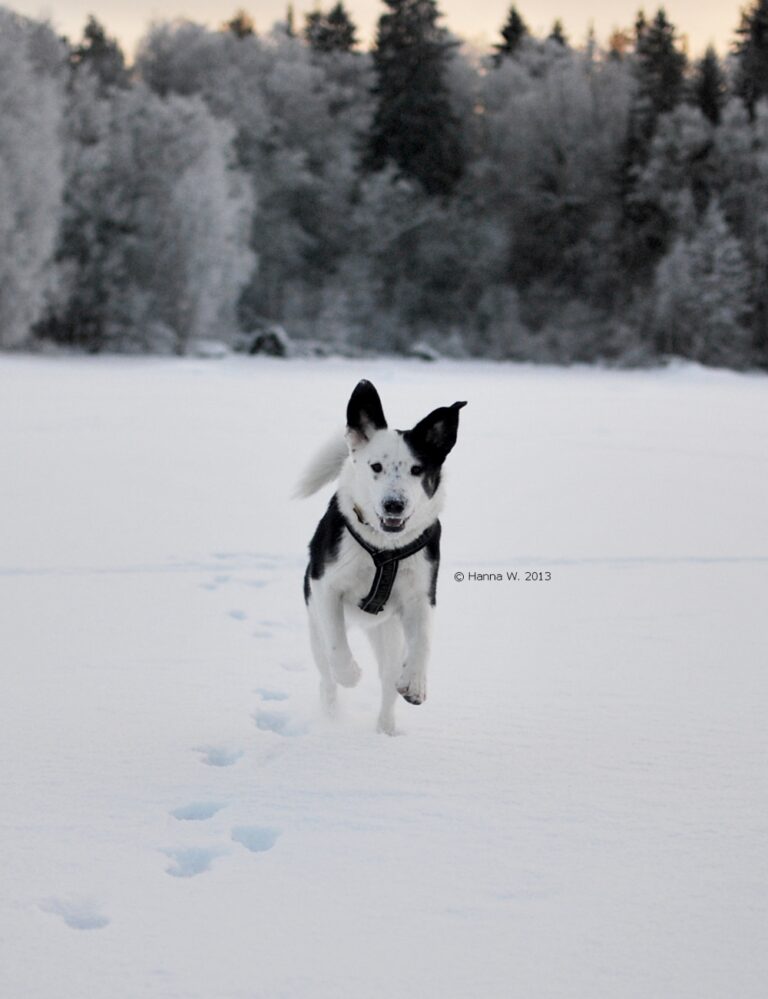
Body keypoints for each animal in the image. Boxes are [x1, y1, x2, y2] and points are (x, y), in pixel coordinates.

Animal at [296, 378, 464, 732]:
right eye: (376, 466)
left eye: (417, 469)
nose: (394, 505)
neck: (385, 547)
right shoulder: (325, 587)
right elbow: (337, 646)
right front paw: (350, 674)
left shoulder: (421, 595)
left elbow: (423, 640)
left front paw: (415, 683)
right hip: (315, 627)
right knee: (326, 674)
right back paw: (331, 716)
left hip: (389, 634)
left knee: (388, 681)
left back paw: (385, 729)